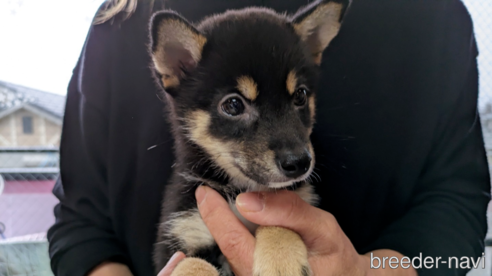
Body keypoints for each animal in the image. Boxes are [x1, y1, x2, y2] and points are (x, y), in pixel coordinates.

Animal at [150, 1, 350, 274]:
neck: (238, 190)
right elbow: (192, 264)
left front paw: (281, 260)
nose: (300, 163)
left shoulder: (298, 201)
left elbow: (280, 219)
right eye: (233, 105)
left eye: (300, 95)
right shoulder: (184, 231)